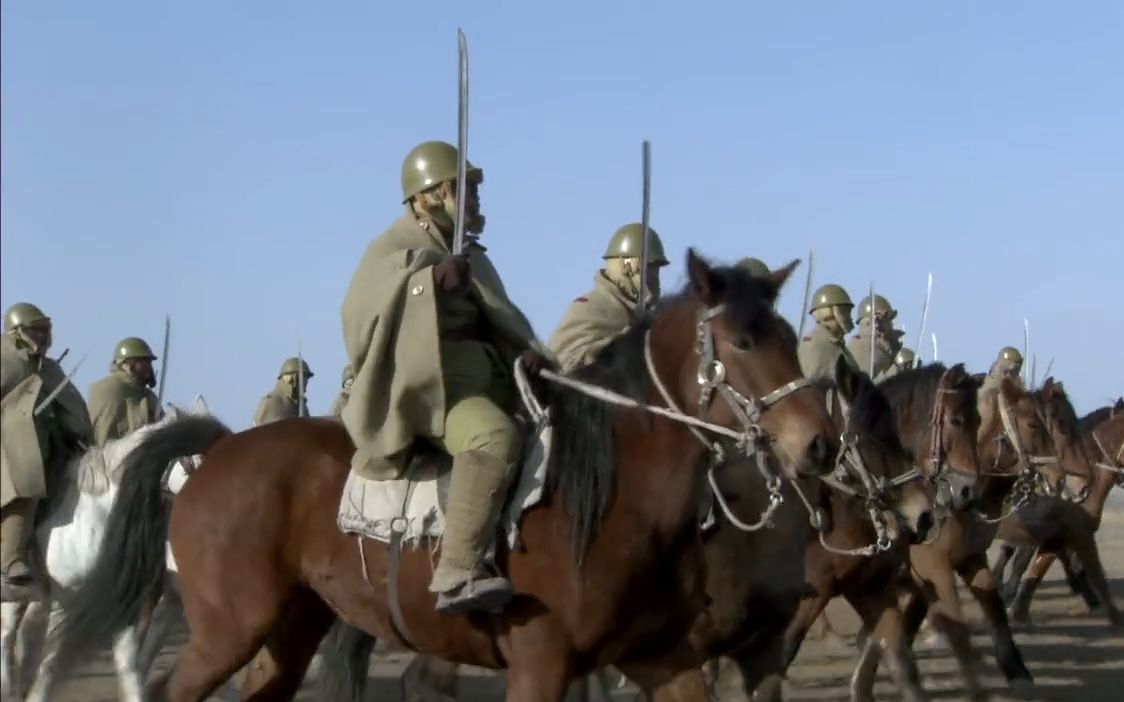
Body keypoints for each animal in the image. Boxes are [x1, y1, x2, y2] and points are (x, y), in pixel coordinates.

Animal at [52, 251, 845, 700]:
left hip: (290, 629)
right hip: (228, 628)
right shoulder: (541, 665)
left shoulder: (664, 659)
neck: (610, 498)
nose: (819, 443)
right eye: (742, 340)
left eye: (786, 336)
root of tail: (217, 451)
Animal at [849, 375, 1088, 696]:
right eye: (1037, 425)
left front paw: (1016, 670)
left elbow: (994, 610)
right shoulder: (932, 568)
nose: (1067, 481)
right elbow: (955, 628)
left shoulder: (970, 559)